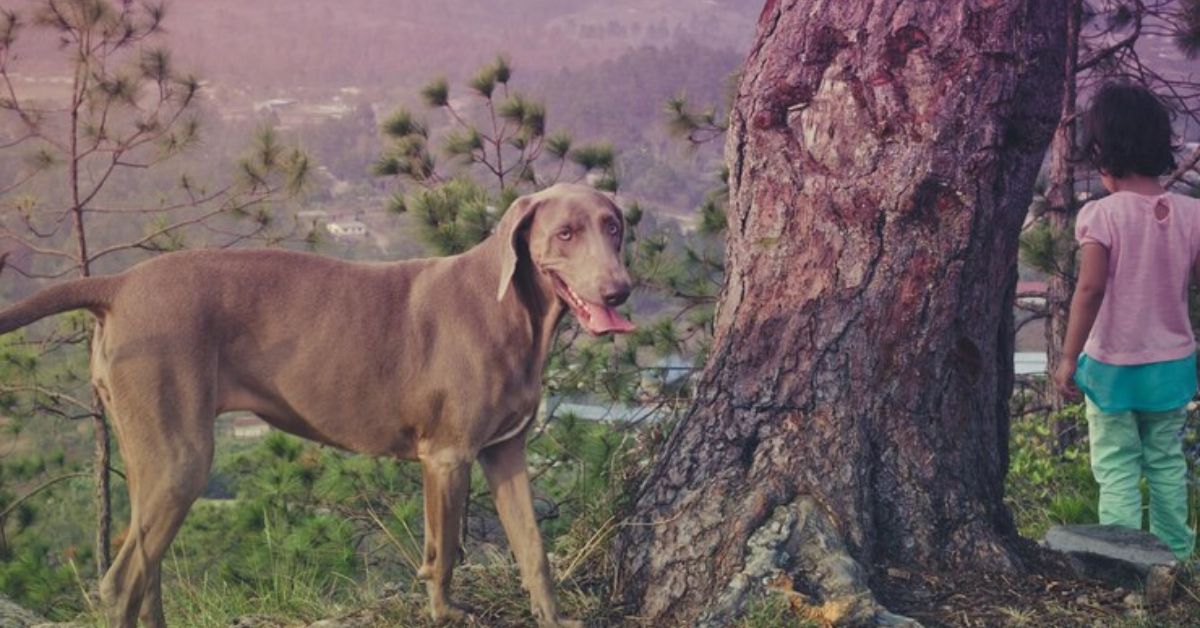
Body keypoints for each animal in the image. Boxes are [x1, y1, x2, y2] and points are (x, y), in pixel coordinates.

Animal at [0, 184, 638, 624]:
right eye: (565, 233)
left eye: (613, 227)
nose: (620, 290)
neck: (511, 308)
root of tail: (120, 283)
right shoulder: (448, 456)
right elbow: (445, 553)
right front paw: (445, 614)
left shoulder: (505, 453)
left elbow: (533, 549)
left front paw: (554, 617)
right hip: (182, 457)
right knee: (121, 580)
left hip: (149, 456)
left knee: (145, 570)